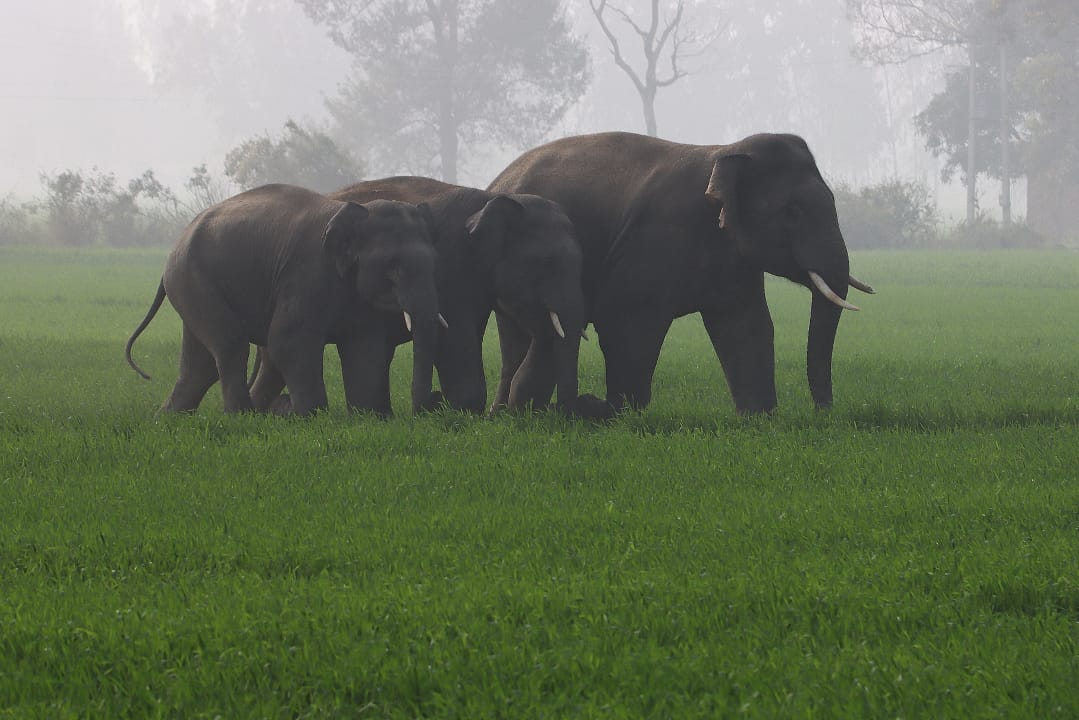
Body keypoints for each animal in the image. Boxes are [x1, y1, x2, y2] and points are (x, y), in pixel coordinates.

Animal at [126, 181, 442, 416]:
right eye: (393, 267)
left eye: (434, 262)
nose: (430, 404)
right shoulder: (307, 272)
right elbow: (289, 341)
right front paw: (314, 418)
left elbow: (365, 347)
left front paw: (368, 418)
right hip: (193, 279)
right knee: (230, 345)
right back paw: (239, 417)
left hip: (191, 283)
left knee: (201, 364)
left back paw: (169, 420)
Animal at [247, 174, 599, 416]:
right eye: (546, 264)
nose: (572, 411)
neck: (498, 199)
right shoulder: (451, 267)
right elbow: (454, 337)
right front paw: (464, 413)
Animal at [489, 131, 876, 416]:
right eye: (793, 212)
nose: (823, 412)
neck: (724, 152)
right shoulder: (653, 239)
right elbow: (626, 323)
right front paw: (620, 415)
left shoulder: (732, 256)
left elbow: (746, 326)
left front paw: (759, 418)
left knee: (518, 341)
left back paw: (509, 415)